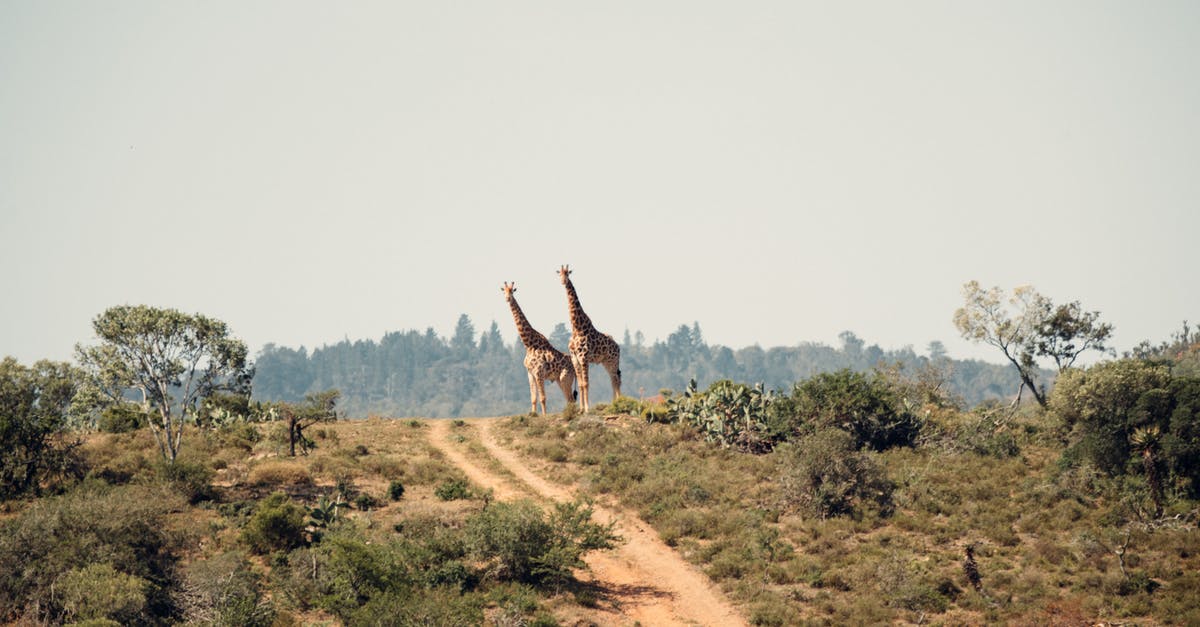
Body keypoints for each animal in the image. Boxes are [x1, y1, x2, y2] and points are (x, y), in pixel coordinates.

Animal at [501, 281, 576, 413]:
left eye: (512, 291)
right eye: (504, 291)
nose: (507, 298)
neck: (529, 344)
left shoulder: (539, 372)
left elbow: (542, 398)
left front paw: (544, 415)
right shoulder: (530, 373)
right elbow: (533, 398)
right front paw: (533, 414)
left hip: (565, 378)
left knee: (571, 399)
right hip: (559, 379)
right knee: (569, 399)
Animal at [556, 261, 624, 413]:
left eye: (568, 273)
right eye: (559, 273)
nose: (563, 281)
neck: (577, 328)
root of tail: (618, 346)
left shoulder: (584, 357)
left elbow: (586, 383)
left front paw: (587, 409)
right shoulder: (575, 358)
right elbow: (581, 384)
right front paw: (581, 409)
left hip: (613, 360)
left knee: (616, 380)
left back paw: (619, 404)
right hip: (606, 362)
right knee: (613, 380)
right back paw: (614, 403)